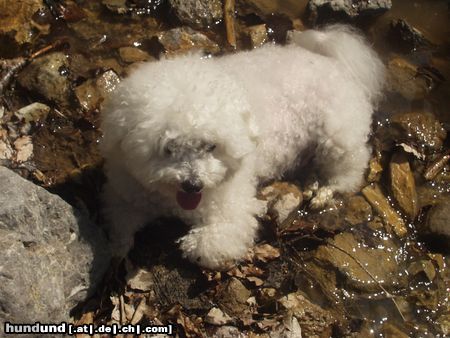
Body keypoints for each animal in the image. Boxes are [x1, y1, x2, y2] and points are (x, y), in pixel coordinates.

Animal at [100, 25, 384, 270]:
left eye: (211, 146)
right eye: (169, 148)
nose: (193, 185)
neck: (170, 198)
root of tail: (332, 61)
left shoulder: (232, 211)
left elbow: (207, 245)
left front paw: (190, 245)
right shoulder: (127, 190)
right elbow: (121, 220)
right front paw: (118, 248)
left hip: (338, 135)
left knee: (349, 168)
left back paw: (325, 190)